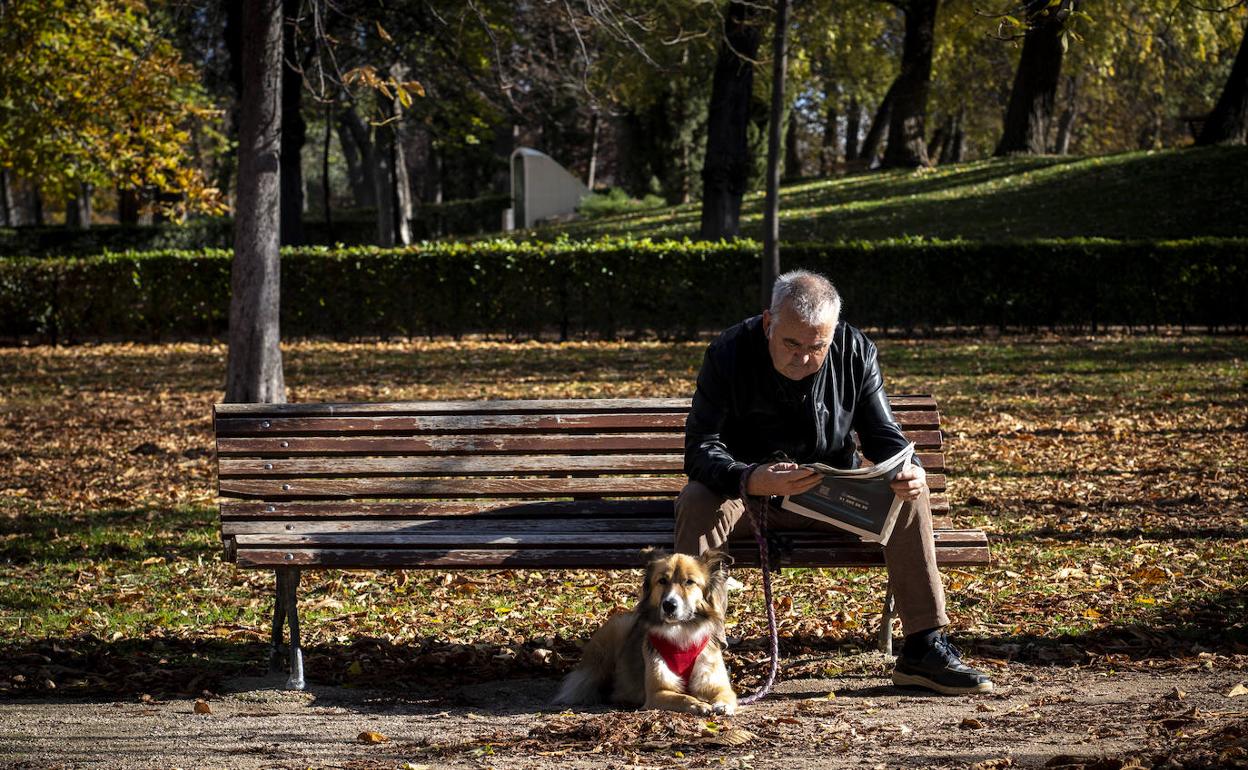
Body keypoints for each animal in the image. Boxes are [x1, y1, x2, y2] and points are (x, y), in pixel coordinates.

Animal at [551, 546, 733, 713]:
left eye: (689, 582)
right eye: (662, 581)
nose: (669, 605)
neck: (682, 630)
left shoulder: (718, 684)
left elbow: (726, 695)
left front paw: (722, 705)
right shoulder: (656, 693)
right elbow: (683, 697)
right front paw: (699, 704)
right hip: (618, 628)